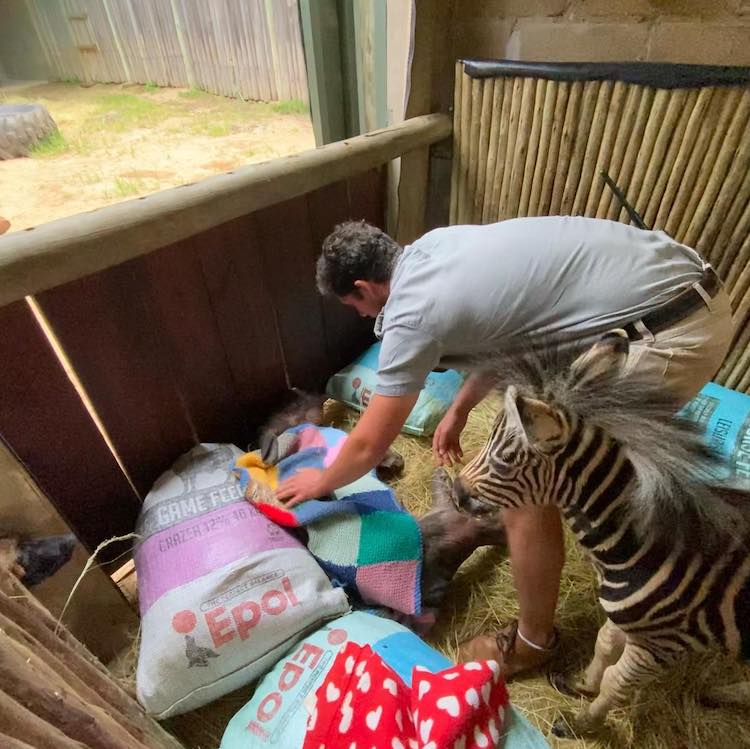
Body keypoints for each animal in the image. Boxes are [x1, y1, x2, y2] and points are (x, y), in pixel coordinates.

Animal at [452, 332, 750, 736]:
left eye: (504, 462)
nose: (455, 493)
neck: (640, 547)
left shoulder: (663, 644)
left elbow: (616, 681)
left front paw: (582, 723)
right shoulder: (625, 621)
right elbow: (604, 645)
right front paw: (581, 685)